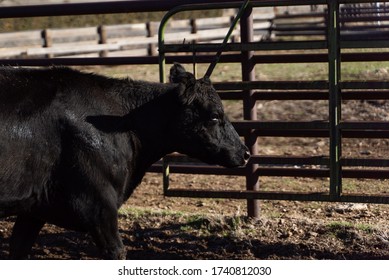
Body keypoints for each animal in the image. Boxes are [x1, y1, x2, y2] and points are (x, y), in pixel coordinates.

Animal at [0, 63, 249, 258]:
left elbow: (19, 248)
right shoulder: (99, 207)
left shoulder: (33, 210)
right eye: (215, 115)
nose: (245, 153)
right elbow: (117, 251)